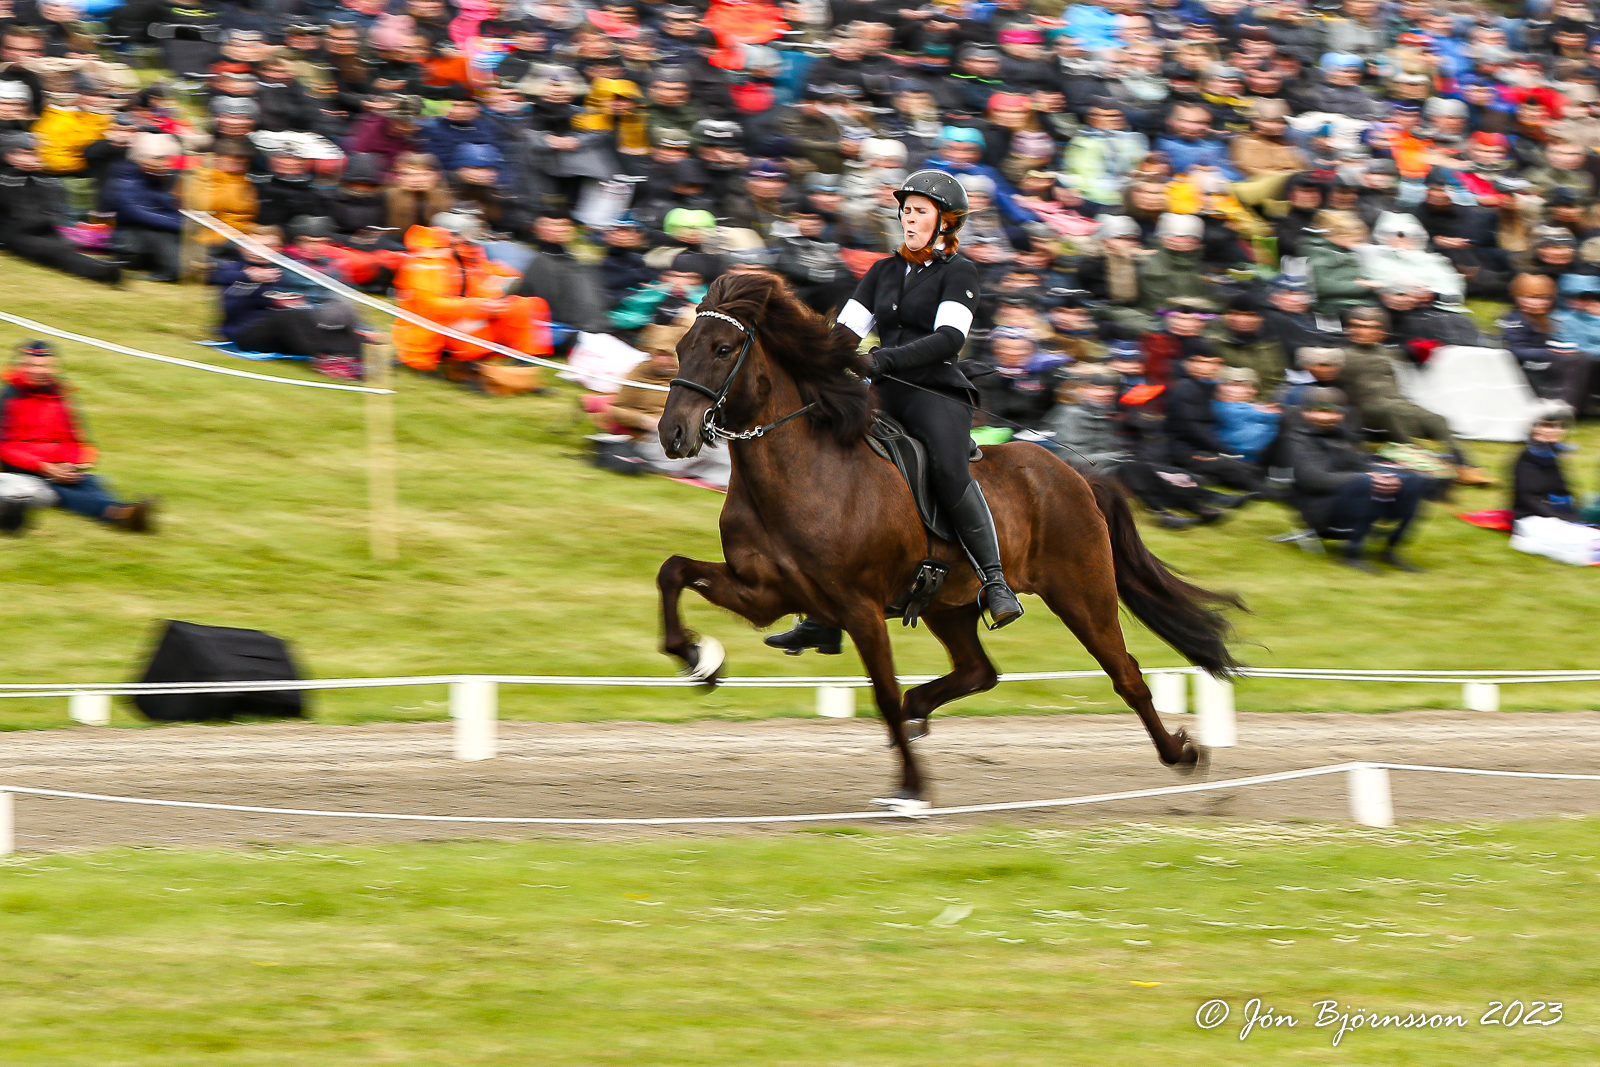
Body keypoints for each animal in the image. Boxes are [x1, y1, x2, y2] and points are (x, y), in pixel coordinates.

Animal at [656, 271, 1241, 806]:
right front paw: (698, 658)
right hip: (949, 604)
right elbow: (673, 570)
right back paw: (922, 710)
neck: (800, 471)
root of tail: (1076, 476)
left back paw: (1182, 754)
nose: (672, 434)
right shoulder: (765, 592)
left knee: (1127, 676)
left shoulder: (859, 608)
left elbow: (884, 693)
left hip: (1083, 593)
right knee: (980, 671)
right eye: (681, 348)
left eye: (723, 349)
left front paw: (912, 786)